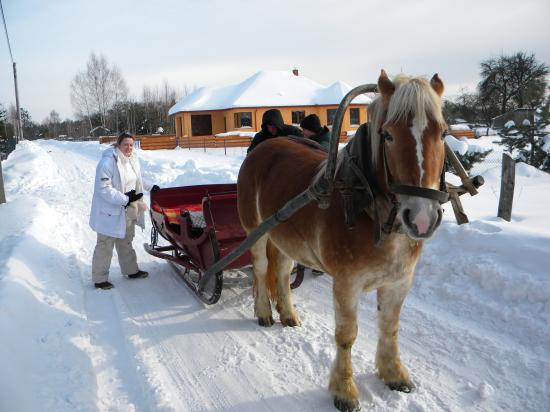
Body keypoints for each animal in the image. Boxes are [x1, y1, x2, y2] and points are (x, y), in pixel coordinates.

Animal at [237, 69, 448, 410]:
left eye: (443, 133)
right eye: (388, 135)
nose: (421, 218)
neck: (368, 205)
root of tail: (263, 148)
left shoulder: (399, 282)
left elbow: (390, 327)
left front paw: (394, 374)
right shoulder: (347, 283)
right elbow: (347, 335)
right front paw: (344, 390)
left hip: (286, 237)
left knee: (280, 272)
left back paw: (288, 314)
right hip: (256, 230)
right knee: (260, 269)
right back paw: (265, 313)